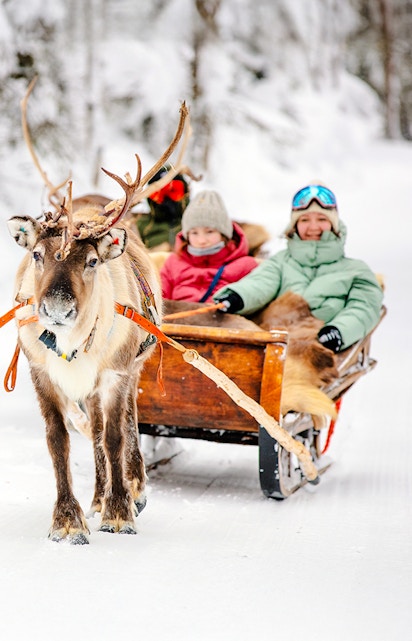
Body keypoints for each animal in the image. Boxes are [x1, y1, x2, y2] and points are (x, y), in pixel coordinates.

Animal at [6, 78, 193, 544]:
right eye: (37, 254)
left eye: (90, 261)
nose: (56, 306)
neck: (72, 345)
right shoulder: (41, 372)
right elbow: (59, 439)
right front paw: (69, 520)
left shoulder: (115, 373)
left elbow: (114, 437)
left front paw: (120, 511)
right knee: (90, 431)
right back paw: (95, 495)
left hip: (135, 366)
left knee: (127, 423)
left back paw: (134, 487)